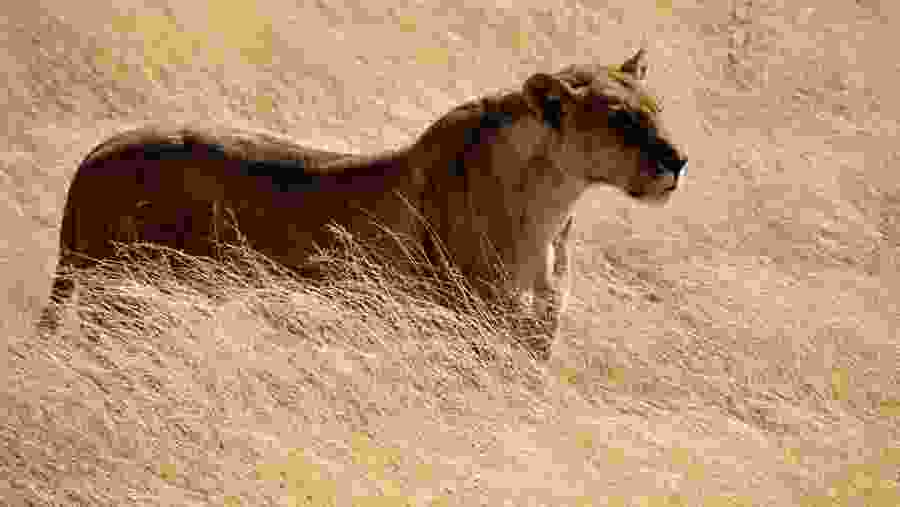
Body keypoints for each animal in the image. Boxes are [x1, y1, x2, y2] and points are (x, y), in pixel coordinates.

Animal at [39, 49, 688, 359]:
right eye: (621, 121)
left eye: (656, 109)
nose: (678, 161)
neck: (554, 202)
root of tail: (98, 151)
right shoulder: (465, 331)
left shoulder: (532, 342)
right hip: (125, 299)